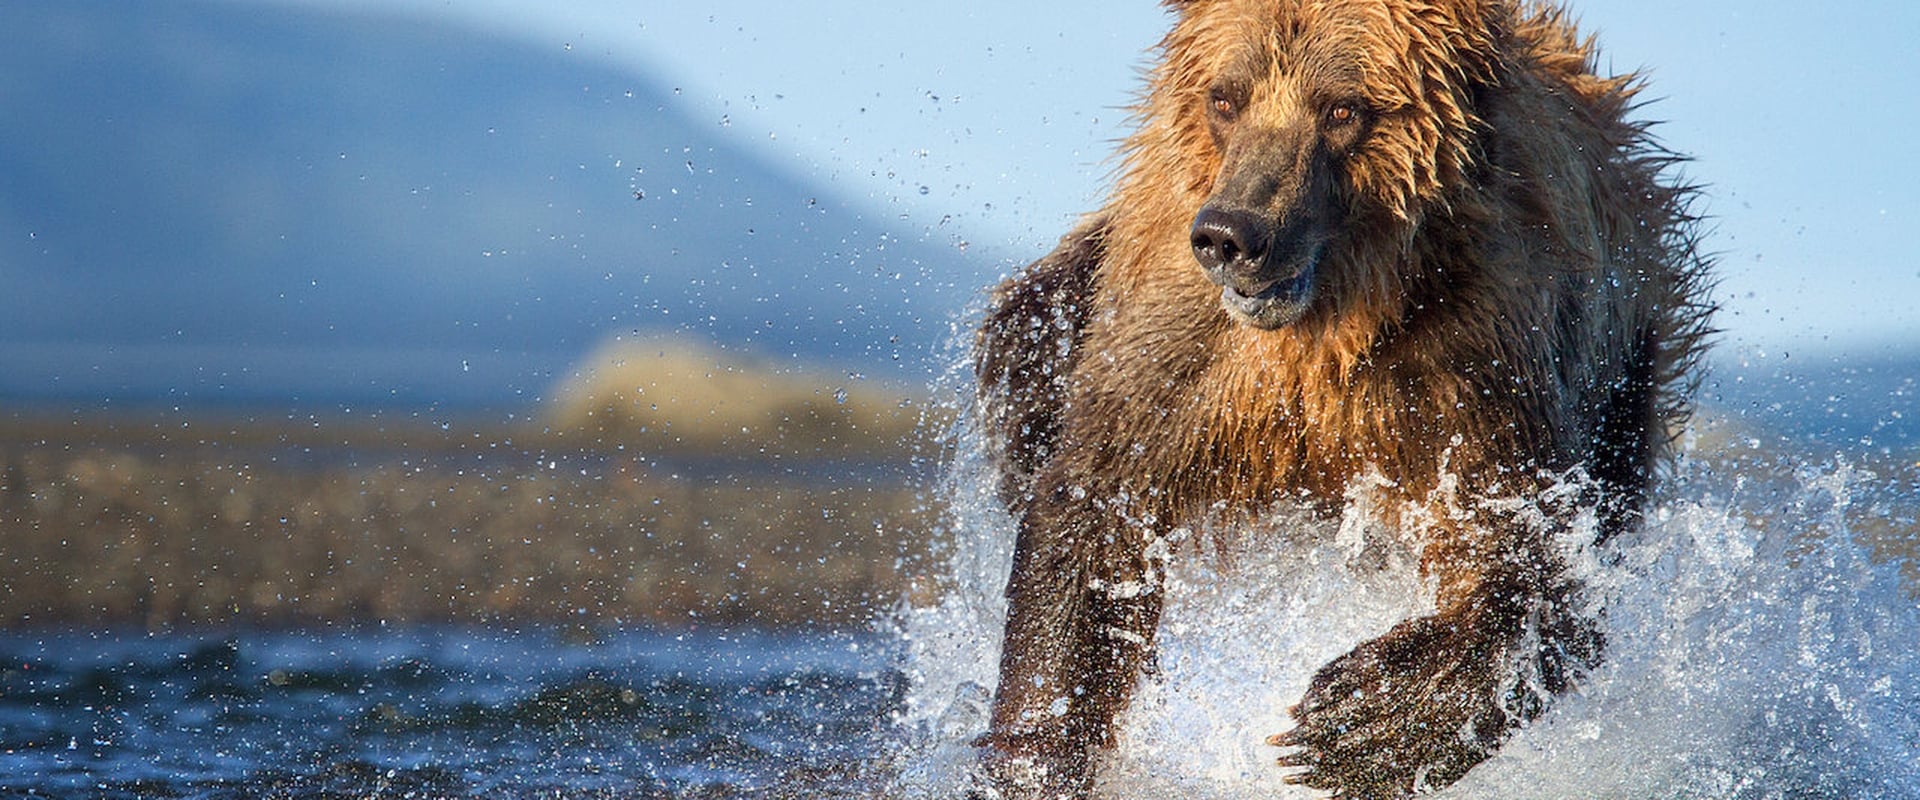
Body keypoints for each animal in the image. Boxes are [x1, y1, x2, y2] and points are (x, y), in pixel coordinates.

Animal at [975, 1, 1712, 798]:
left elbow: (1528, 554)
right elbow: (1095, 513)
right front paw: (1035, 755)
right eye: (1225, 98)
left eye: (1341, 108)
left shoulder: (1480, 367)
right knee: (1023, 351)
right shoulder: (1186, 352)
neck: (1331, 326)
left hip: (1623, 380)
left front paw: (1356, 720)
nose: (1232, 235)